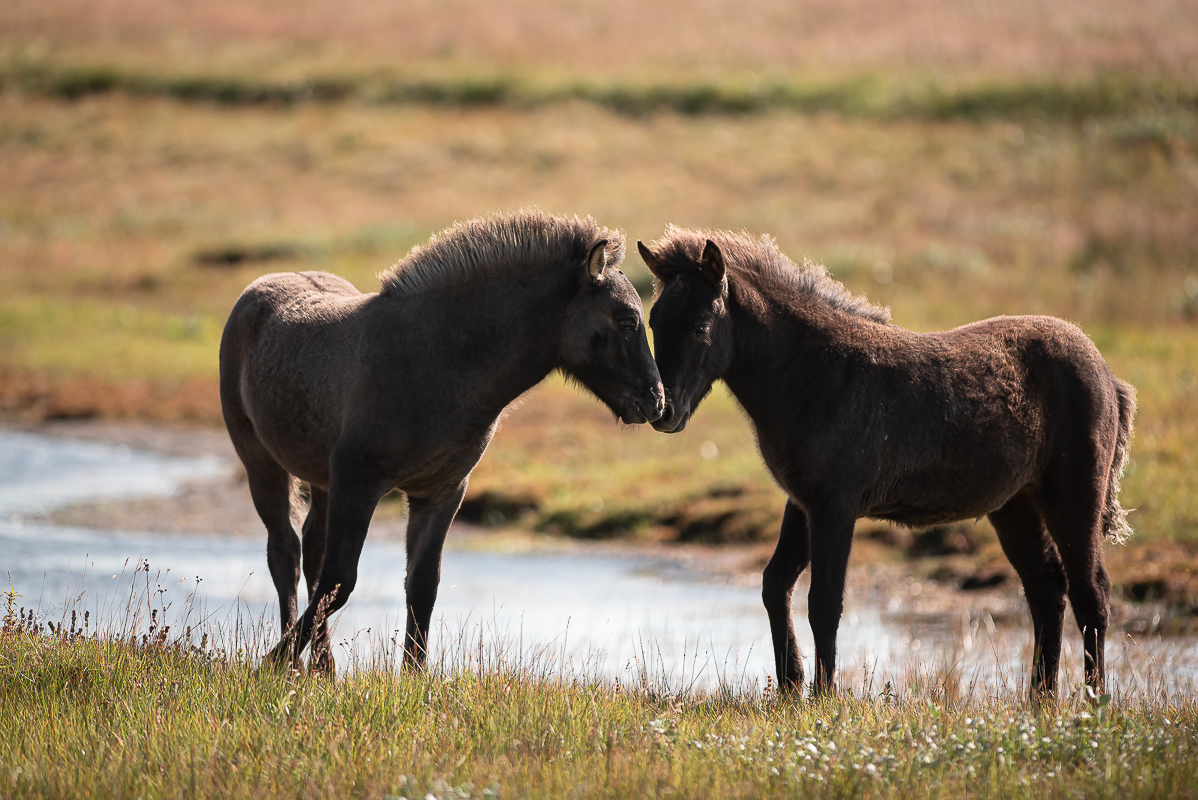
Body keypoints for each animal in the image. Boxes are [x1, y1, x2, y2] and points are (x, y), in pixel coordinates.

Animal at [220, 210, 665, 673]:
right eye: (628, 321)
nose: (657, 402)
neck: (439, 361)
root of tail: (258, 288)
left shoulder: (441, 490)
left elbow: (421, 585)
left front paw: (414, 678)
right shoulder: (358, 481)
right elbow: (340, 580)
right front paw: (272, 665)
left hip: (321, 479)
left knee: (310, 548)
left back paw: (325, 673)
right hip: (261, 462)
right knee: (285, 553)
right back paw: (297, 664)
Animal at [638, 226, 1136, 701]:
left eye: (700, 326)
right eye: (653, 321)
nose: (663, 411)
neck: (813, 375)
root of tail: (1105, 371)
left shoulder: (835, 506)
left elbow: (824, 602)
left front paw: (823, 697)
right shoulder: (802, 502)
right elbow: (775, 584)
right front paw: (790, 686)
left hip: (1074, 495)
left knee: (1091, 593)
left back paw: (1092, 701)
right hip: (1014, 505)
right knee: (1047, 589)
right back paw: (1040, 699)